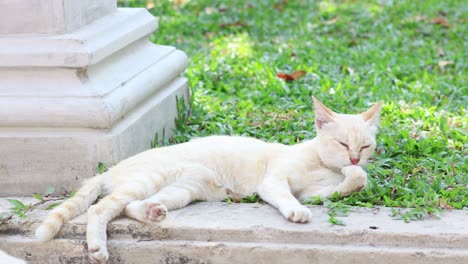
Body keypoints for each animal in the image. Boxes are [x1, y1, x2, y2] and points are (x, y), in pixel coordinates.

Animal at [35, 97, 380, 262]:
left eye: (365, 146)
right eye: (342, 144)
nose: (353, 158)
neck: (321, 163)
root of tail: (110, 169)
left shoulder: (317, 191)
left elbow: (351, 183)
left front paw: (354, 174)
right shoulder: (273, 181)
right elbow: (286, 195)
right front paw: (296, 210)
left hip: (181, 190)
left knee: (130, 206)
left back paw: (152, 212)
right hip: (150, 178)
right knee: (101, 207)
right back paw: (97, 246)